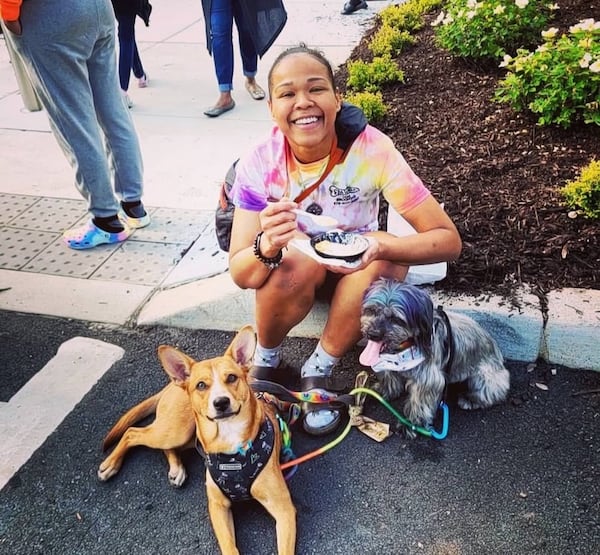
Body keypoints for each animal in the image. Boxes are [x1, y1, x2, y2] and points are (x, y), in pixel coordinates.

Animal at [97, 326, 296, 555]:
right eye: (201, 385)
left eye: (231, 378)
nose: (221, 402)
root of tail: (173, 384)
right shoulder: (217, 506)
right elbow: (229, 547)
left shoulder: (284, 509)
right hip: (176, 430)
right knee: (132, 432)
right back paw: (110, 465)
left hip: (189, 437)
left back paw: (176, 469)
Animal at [360, 280, 510, 436]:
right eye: (371, 310)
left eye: (395, 318)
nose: (373, 334)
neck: (406, 347)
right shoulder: (390, 362)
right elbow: (389, 378)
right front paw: (380, 392)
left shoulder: (428, 379)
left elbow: (419, 402)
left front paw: (412, 424)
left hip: (484, 377)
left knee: (493, 393)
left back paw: (470, 399)